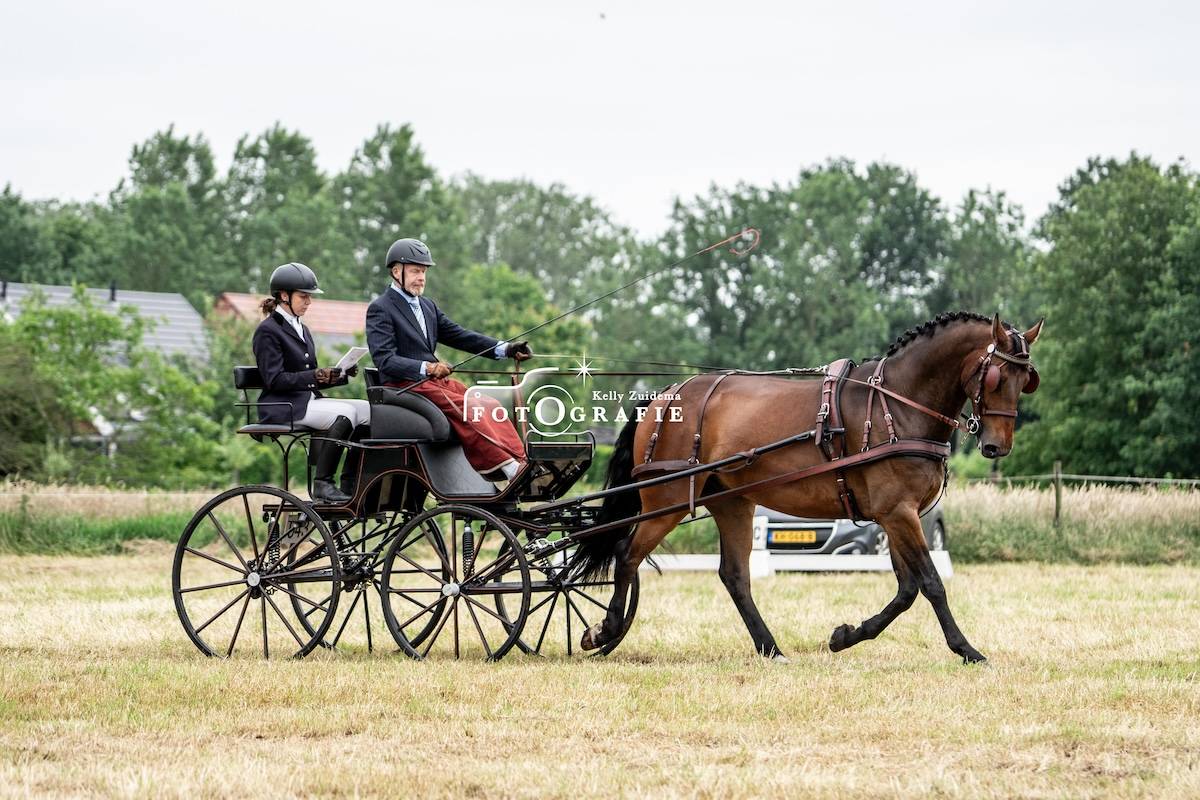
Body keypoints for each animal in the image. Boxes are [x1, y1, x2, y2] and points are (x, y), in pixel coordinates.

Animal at [575, 311, 1043, 663]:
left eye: (1026, 381)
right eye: (996, 377)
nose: (996, 446)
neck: (897, 404)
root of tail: (665, 395)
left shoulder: (894, 516)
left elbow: (906, 590)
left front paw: (845, 635)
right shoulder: (898, 513)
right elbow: (931, 583)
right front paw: (966, 649)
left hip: (732, 503)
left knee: (734, 576)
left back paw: (771, 648)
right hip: (667, 499)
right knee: (627, 554)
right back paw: (605, 630)